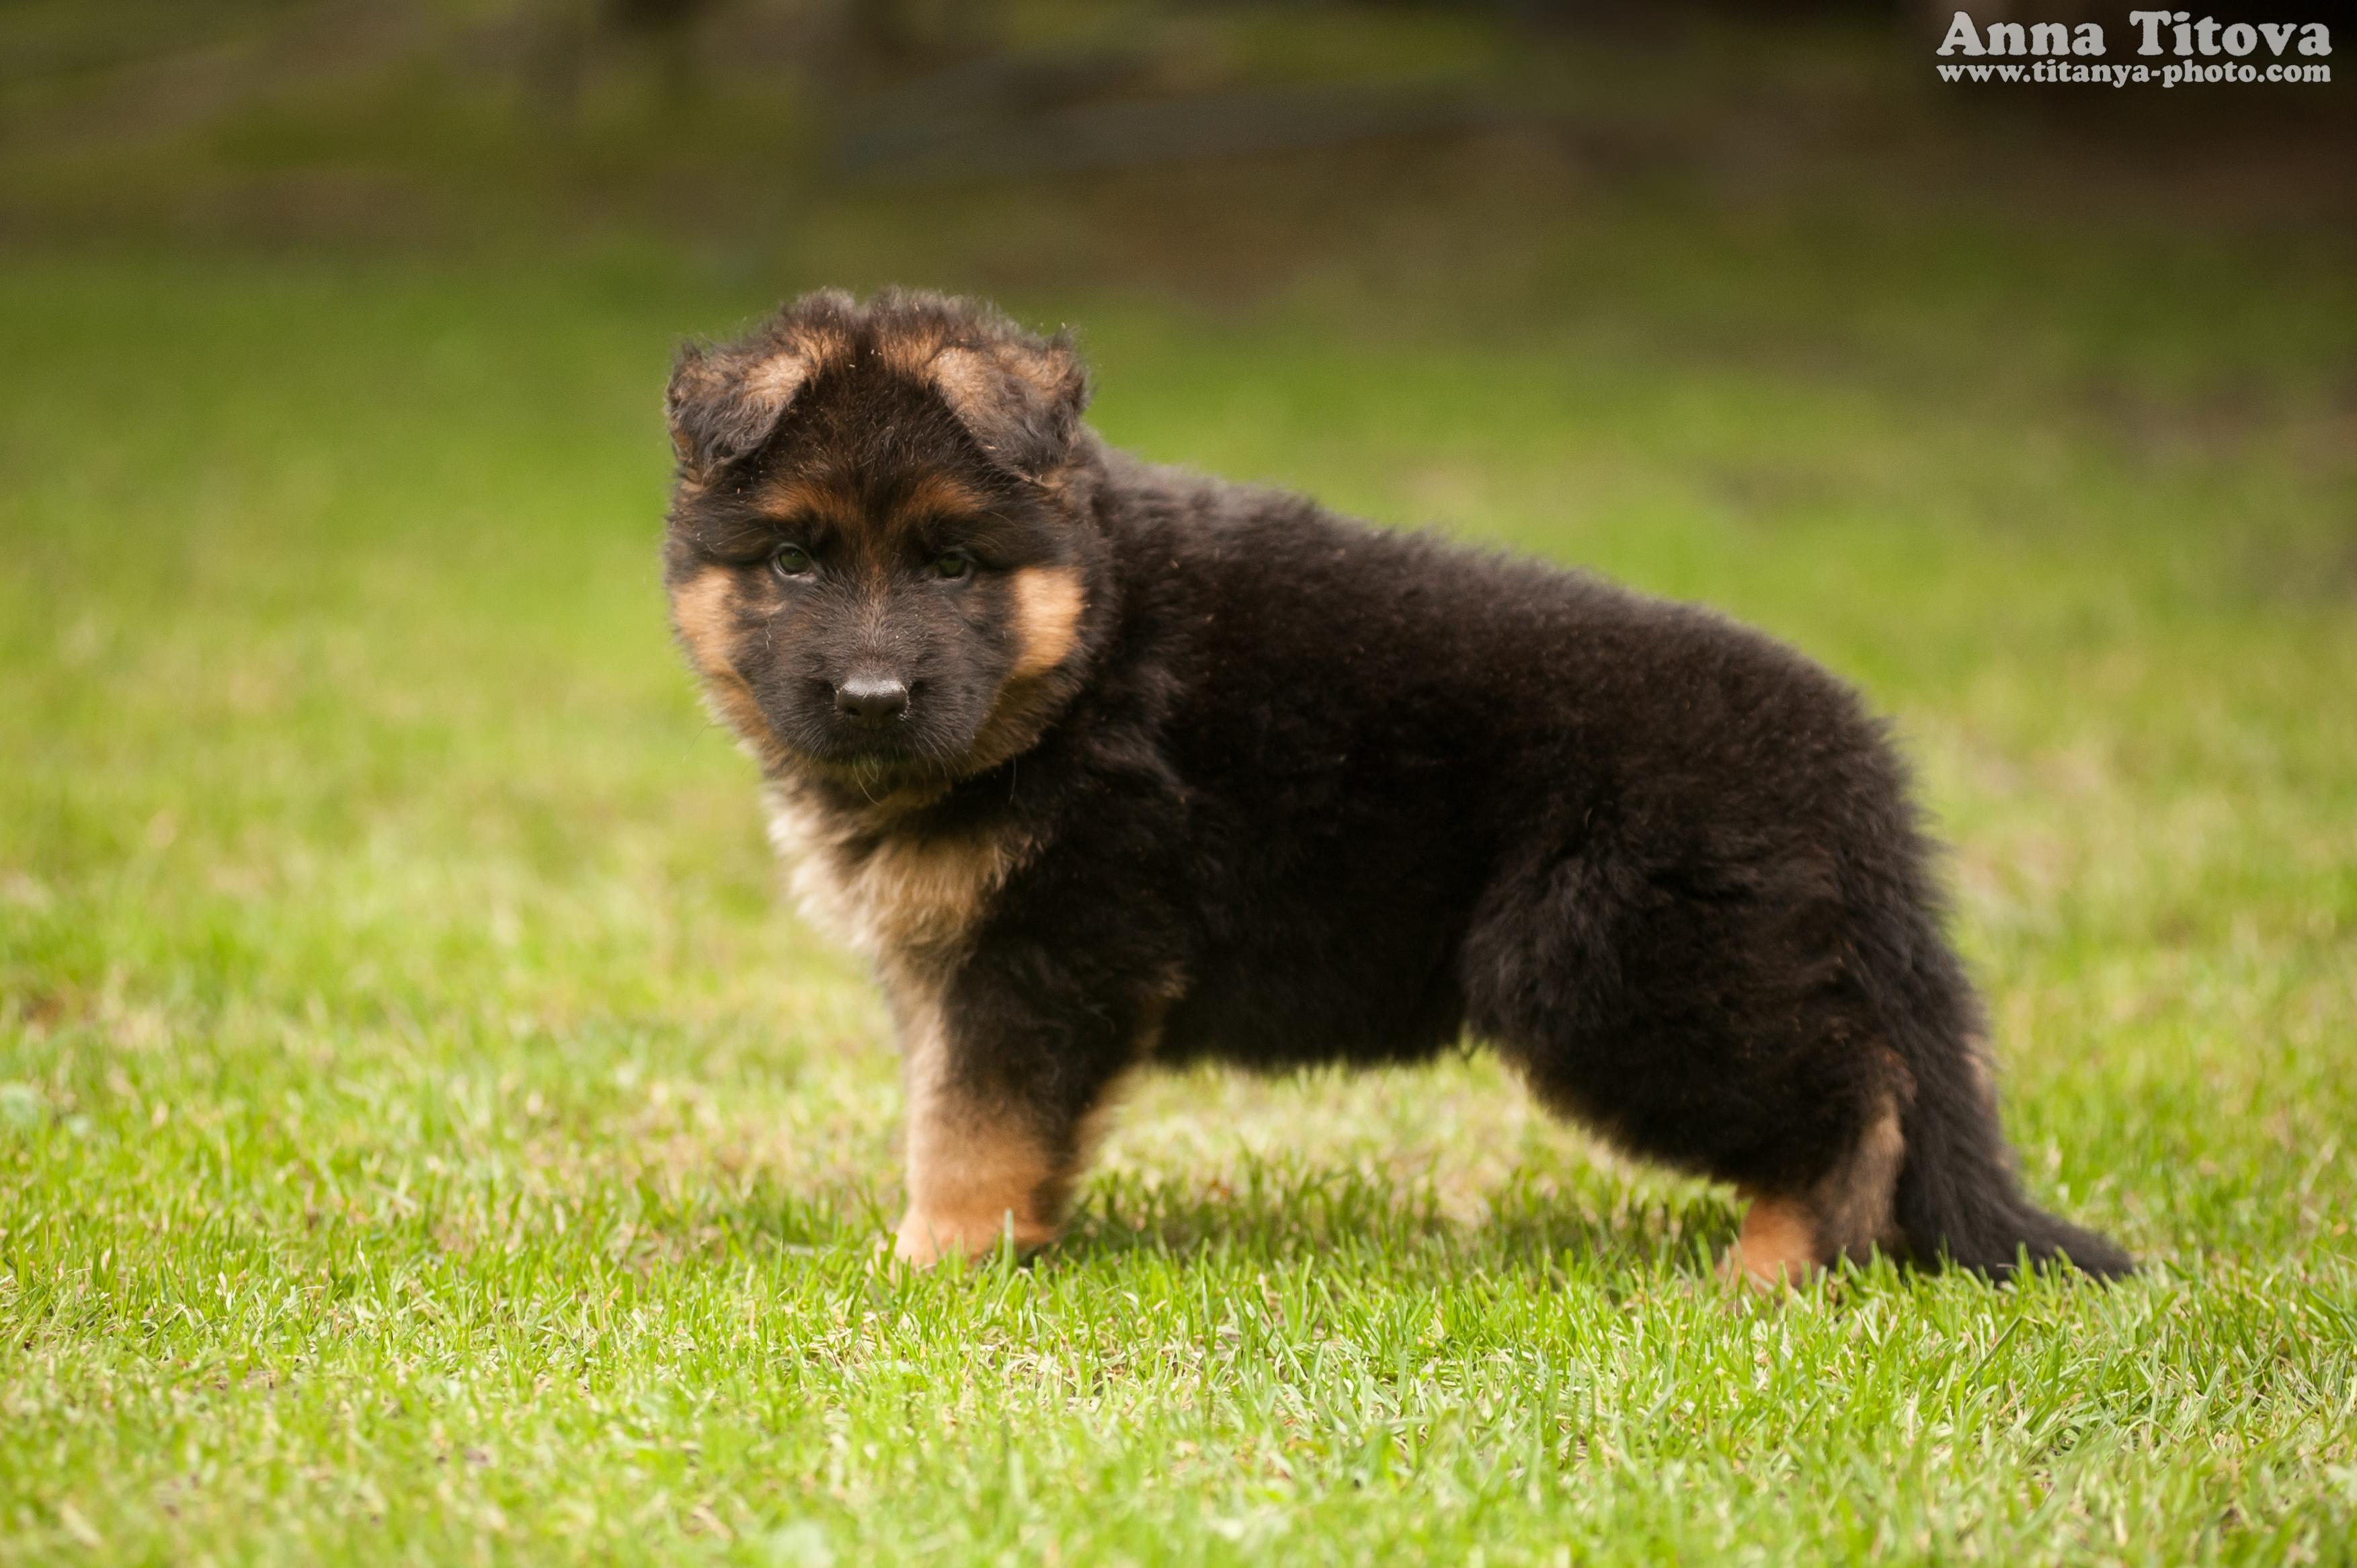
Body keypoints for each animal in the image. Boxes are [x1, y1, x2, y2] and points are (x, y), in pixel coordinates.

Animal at [660, 284, 2140, 1282]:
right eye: (792, 559)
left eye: (954, 564)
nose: (870, 699)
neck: (1083, 647)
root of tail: (1858, 768)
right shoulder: (959, 957)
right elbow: (959, 1105)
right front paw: (984, 1243)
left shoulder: (1051, 942)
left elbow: (974, 1120)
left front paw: (932, 1263)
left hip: (1606, 969)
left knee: (1854, 1100)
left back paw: (1769, 1270)